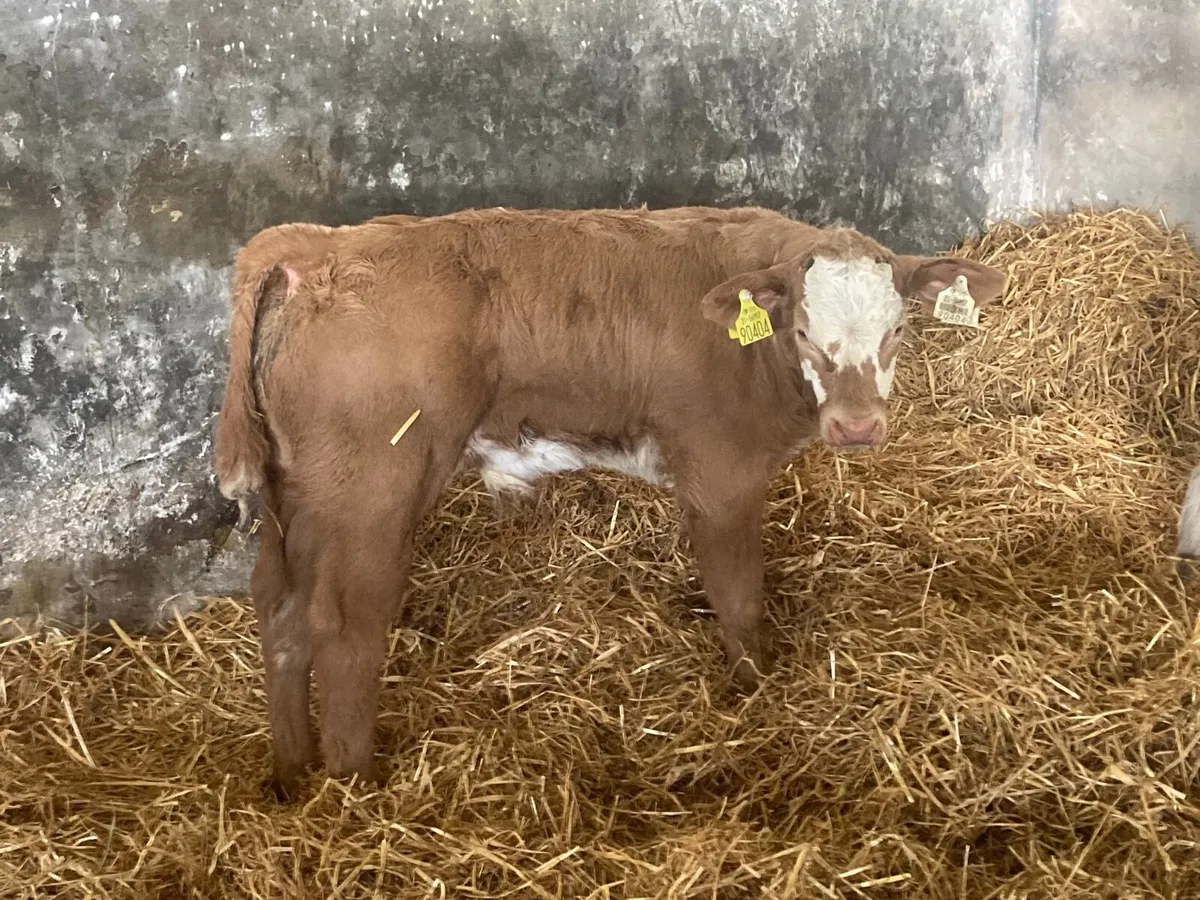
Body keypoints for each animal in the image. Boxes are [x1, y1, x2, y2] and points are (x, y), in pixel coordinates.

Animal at [213, 205, 1007, 797]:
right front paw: (756, 693)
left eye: (899, 329)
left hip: (297, 491)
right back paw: (357, 785)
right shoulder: (721, 471)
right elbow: (739, 597)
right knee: (344, 625)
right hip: (372, 489)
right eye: (806, 332)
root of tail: (317, 244)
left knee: (280, 607)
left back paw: (290, 773)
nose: (858, 426)